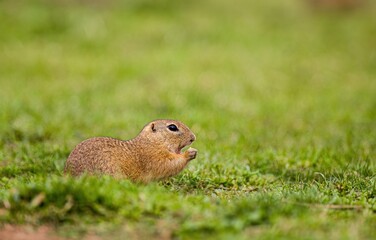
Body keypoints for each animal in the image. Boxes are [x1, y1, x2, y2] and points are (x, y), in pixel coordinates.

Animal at [64, 119, 197, 183]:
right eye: (172, 127)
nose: (193, 138)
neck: (151, 142)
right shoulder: (152, 156)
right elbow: (167, 164)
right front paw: (189, 153)